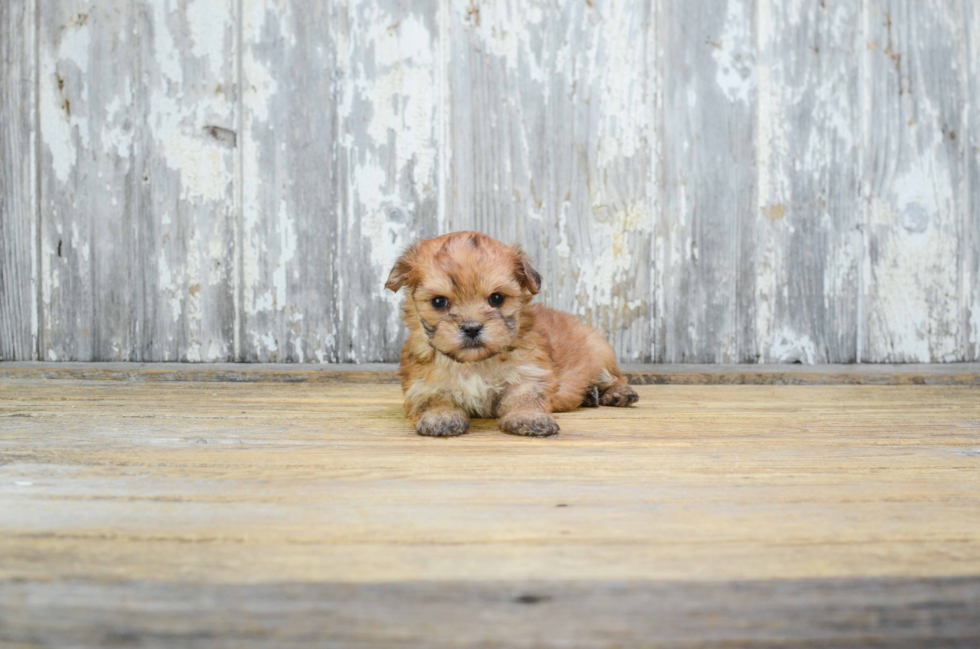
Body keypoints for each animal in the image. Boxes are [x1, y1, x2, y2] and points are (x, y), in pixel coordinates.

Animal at [386, 230, 640, 438]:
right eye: (439, 302)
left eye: (496, 298)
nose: (472, 327)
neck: (475, 363)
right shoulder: (423, 383)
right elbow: (433, 398)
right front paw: (441, 417)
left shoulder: (528, 373)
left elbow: (525, 396)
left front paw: (530, 418)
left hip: (599, 352)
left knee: (614, 378)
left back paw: (618, 393)